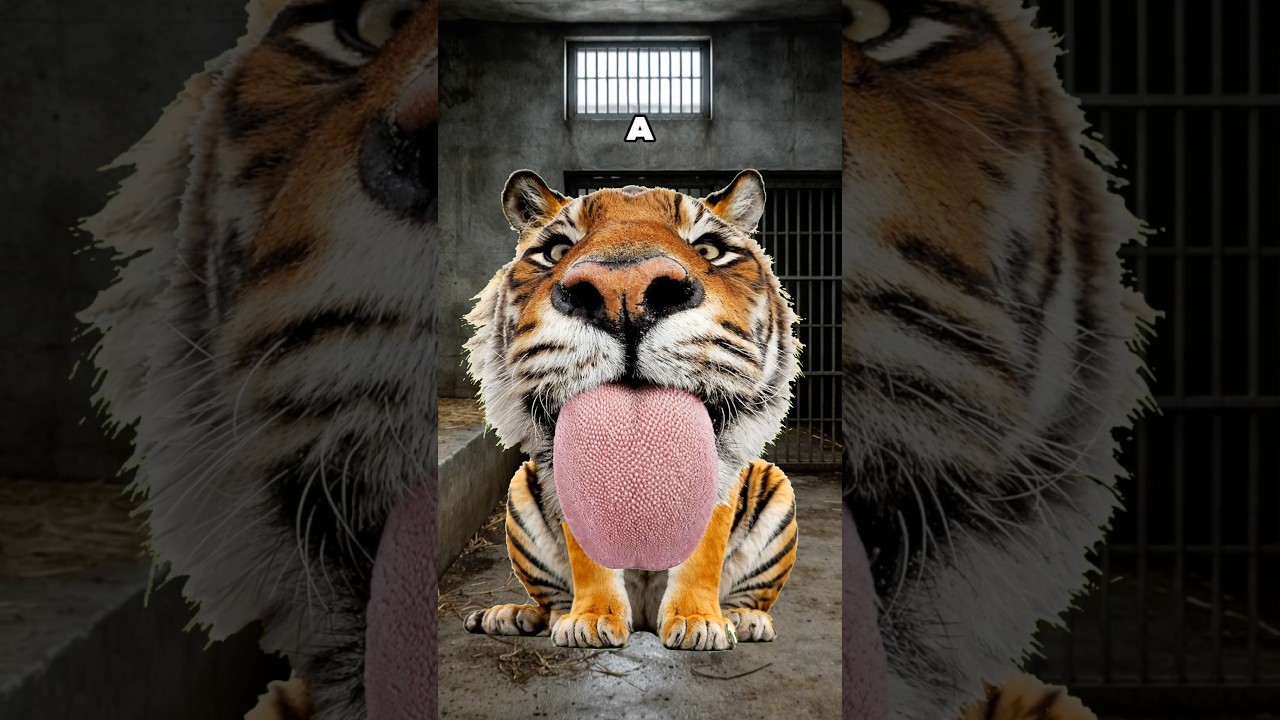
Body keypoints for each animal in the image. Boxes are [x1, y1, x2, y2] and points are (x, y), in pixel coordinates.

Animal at [460, 170, 803, 651]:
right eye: (557, 250)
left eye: (709, 249)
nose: (624, 290)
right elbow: (588, 555)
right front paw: (590, 620)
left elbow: (705, 552)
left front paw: (698, 622)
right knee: (548, 604)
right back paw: (514, 616)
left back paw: (744, 618)